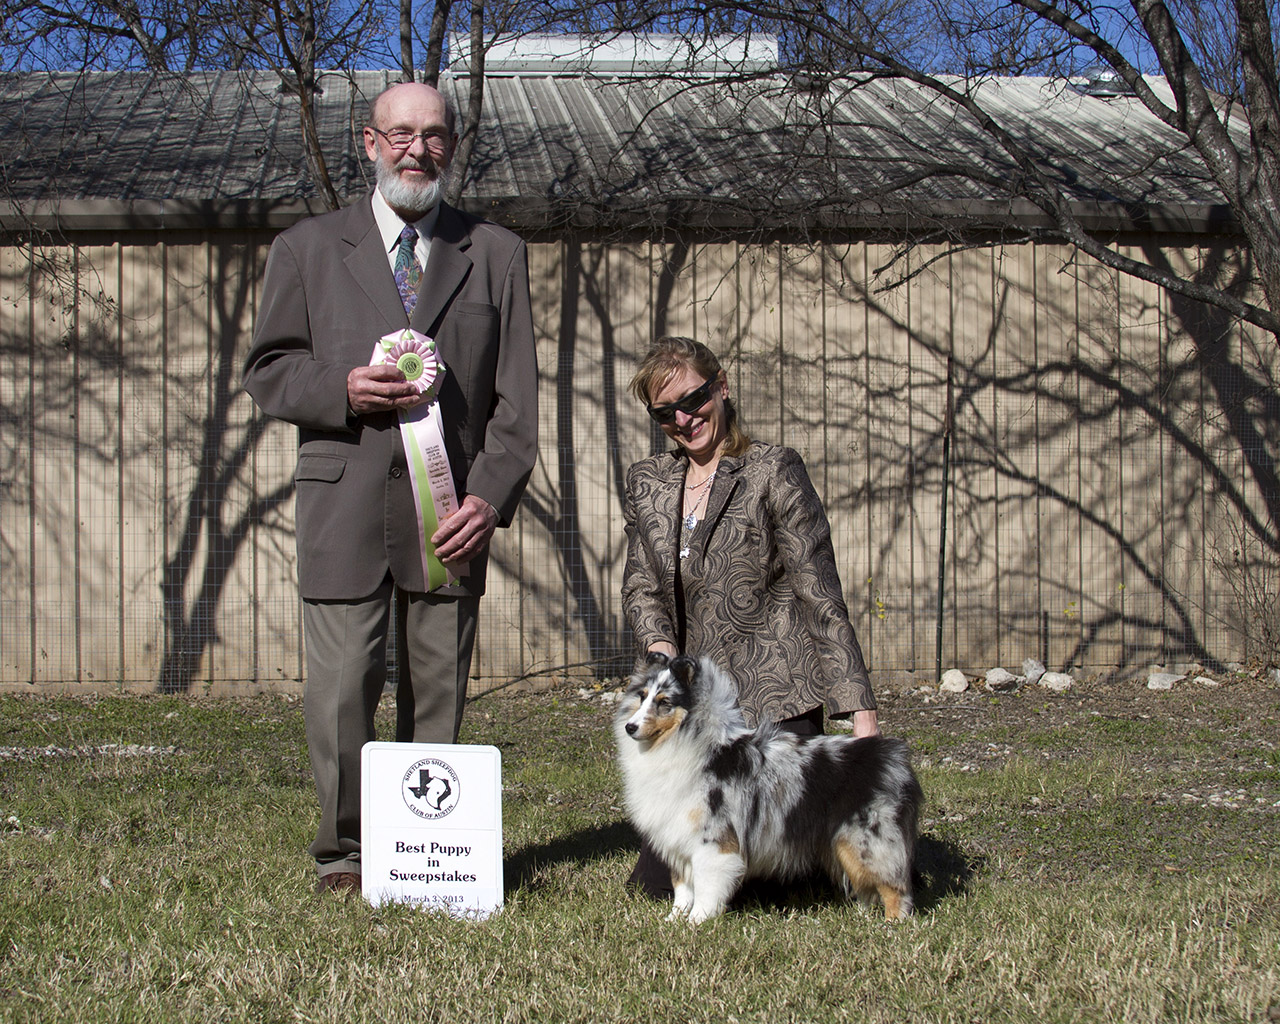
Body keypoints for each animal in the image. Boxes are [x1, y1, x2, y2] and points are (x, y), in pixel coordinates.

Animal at [615, 652, 922, 924]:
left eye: (664, 701)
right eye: (642, 697)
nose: (630, 727)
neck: (689, 744)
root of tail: (892, 755)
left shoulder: (713, 841)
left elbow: (705, 886)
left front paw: (697, 921)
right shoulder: (677, 838)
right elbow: (682, 889)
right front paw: (673, 920)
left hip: (868, 842)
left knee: (895, 888)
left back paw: (891, 926)